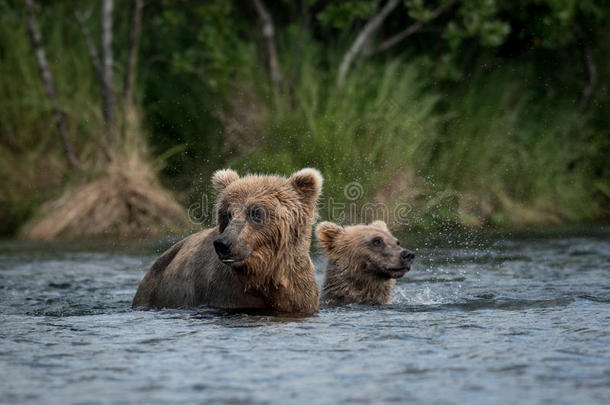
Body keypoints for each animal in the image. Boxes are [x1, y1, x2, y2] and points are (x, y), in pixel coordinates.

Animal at [133, 167, 324, 312]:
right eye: (228, 214)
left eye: (256, 213)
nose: (223, 244)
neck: (265, 275)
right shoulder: (228, 294)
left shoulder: (299, 292)